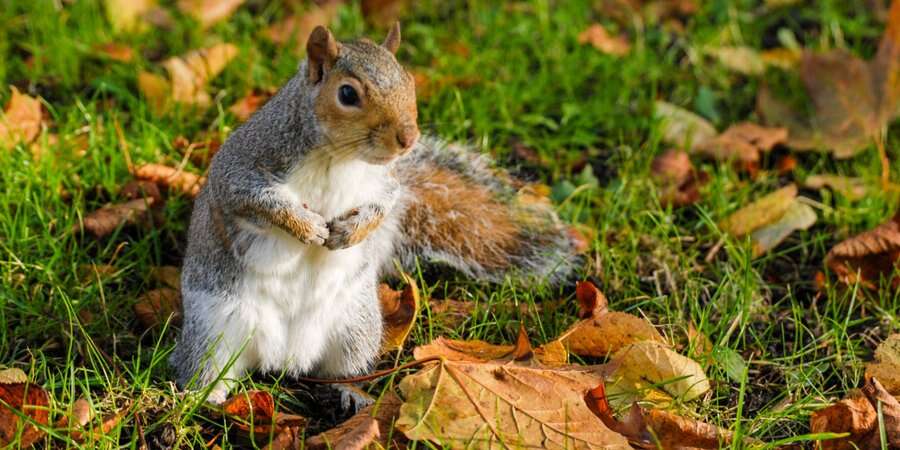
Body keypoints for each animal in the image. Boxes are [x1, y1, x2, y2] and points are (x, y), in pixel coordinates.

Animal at [169, 22, 580, 402]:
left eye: (409, 82)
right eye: (347, 94)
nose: (408, 139)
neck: (338, 159)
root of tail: (284, 359)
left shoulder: (385, 183)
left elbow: (385, 204)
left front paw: (351, 232)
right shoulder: (244, 166)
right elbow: (256, 199)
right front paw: (305, 227)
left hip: (357, 328)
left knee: (341, 371)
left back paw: (353, 394)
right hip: (214, 332)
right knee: (207, 370)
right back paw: (204, 400)